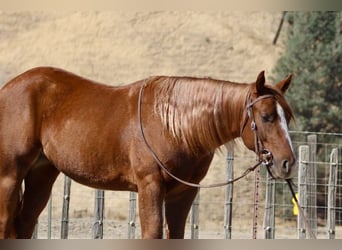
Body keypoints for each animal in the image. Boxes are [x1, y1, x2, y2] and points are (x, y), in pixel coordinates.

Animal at [0, 66, 294, 238]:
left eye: (288, 117)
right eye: (267, 116)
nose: (287, 163)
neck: (174, 124)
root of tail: (8, 89)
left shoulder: (183, 194)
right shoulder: (150, 187)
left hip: (41, 175)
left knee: (24, 223)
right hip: (10, 177)